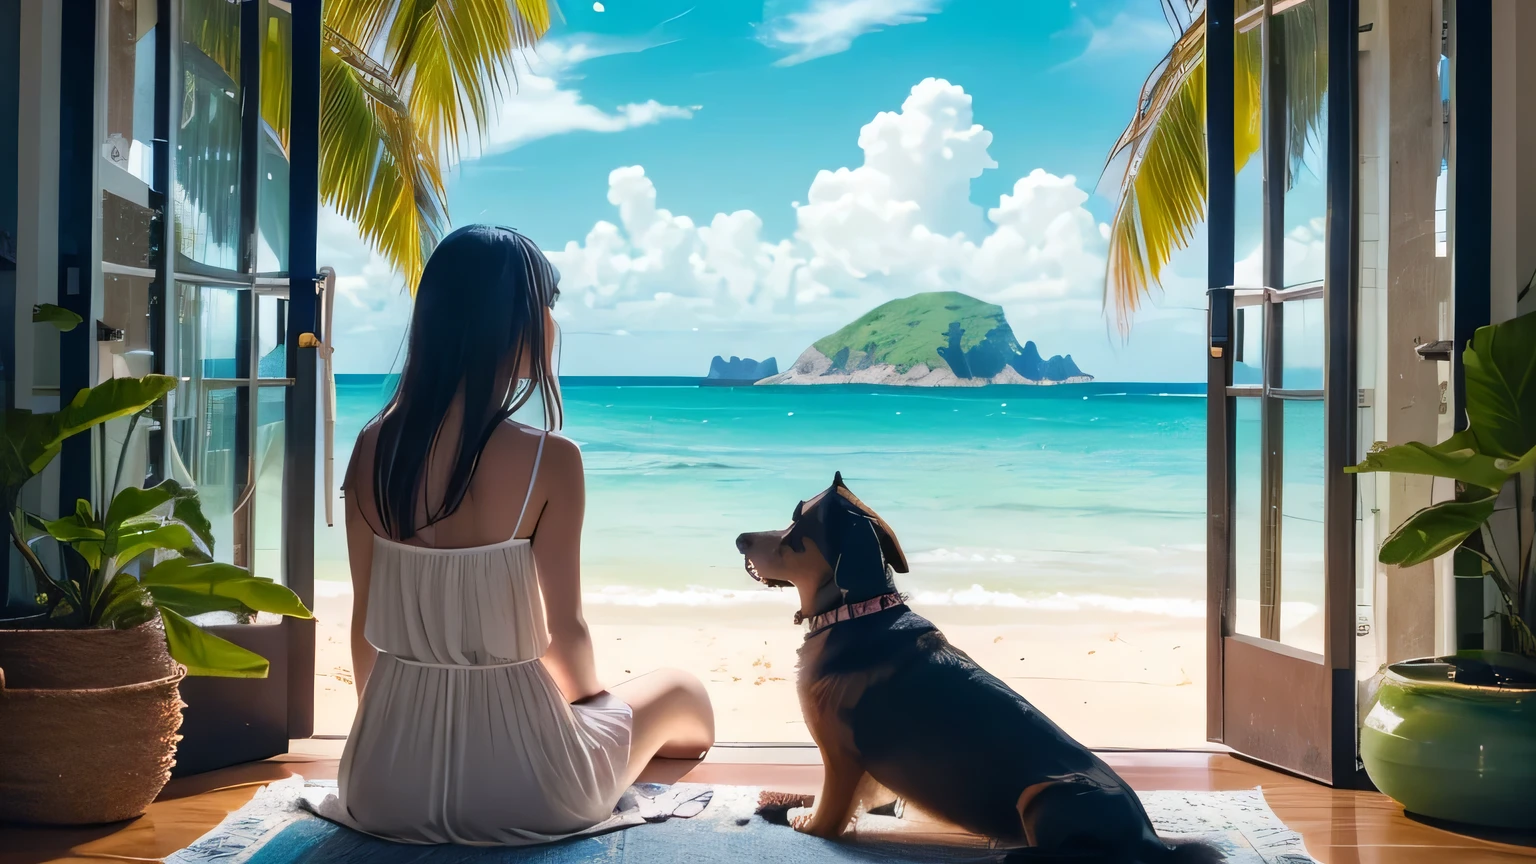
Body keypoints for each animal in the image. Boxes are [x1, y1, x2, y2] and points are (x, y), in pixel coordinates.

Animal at [734, 473, 1222, 854]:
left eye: (796, 530)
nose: (739, 539)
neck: (856, 611)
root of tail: (1150, 839)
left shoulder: (841, 756)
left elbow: (826, 816)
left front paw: (802, 818)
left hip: (1044, 797)